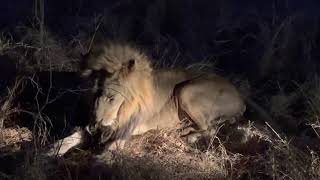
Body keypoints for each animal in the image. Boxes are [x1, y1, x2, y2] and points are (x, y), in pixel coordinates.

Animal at [45, 41, 246, 156]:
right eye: (93, 94)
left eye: (111, 98)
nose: (95, 124)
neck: (121, 112)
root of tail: (241, 99)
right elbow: (64, 141)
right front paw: (45, 153)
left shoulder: (123, 134)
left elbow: (105, 153)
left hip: (186, 90)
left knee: (210, 129)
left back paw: (188, 136)